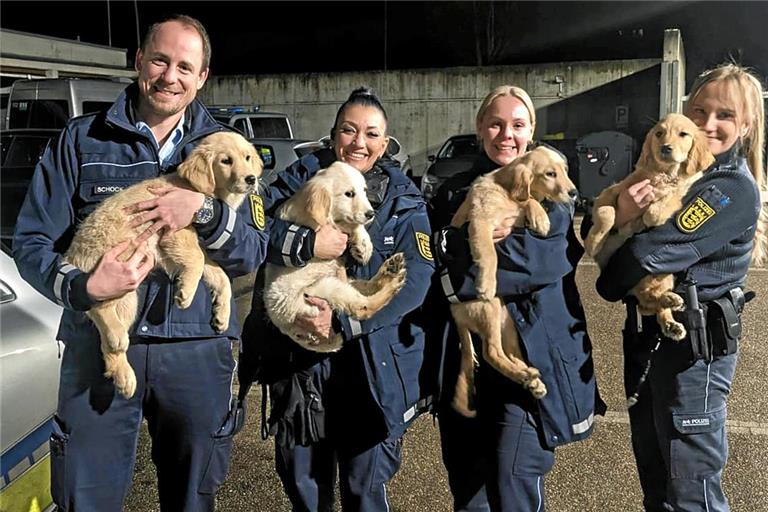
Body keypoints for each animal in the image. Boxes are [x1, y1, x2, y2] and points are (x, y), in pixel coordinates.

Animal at [63, 130, 260, 398]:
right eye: (225, 161)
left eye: (247, 157)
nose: (251, 179)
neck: (195, 189)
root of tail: (71, 254)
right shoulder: (176, 231)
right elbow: (198, 262)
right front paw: (185, 293)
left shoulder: (179, 244)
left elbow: (218, 275)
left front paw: (221, 314)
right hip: (120, 262)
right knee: (96, 301)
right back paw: (117, 337)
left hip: (128, 295)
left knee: (106, 344)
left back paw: (124, 378)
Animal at [264, 162, 408, 354]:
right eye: (349, 194)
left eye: (364, 190)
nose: (371, 214)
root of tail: (288, 330)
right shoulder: (318, 224)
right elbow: (346, 223)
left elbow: (353, 225)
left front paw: (363, 246)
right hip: (324, 289)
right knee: (363, 307)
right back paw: (393, 284)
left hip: (344, 283)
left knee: (368, 287)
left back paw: (390, 270)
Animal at [450, 146, 576, 418]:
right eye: (550, 174)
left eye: (564, 170)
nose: (574, 193)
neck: (505, 191)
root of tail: (455, 315)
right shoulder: (480, 223)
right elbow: (490, 253)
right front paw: (486, 282)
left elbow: (527, 200)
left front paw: (539, 216)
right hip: (488, 309)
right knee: (490, 353)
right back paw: (526, 376)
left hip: (506, 323)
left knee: (506, 353)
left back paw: (530, 377)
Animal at [584, 114, 716, 342]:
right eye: (659, 133)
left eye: (683, 134)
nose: (665, 148)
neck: (663, 174)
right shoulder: (611, 192)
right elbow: (607, 213)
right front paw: (593, 243)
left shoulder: (678, 195)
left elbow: (659, 209)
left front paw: (646, 216)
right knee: (646, 304)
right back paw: (670, 312)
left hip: (662, 274)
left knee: (650, 303)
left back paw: (671, 310)